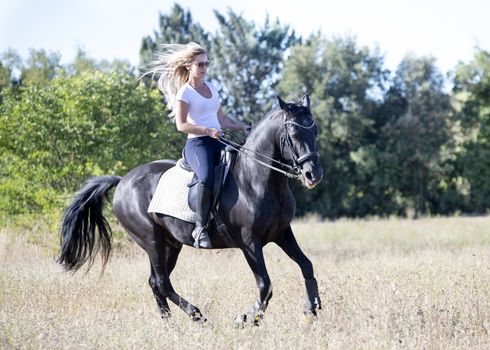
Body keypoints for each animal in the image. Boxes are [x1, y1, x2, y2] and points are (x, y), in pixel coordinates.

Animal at [58, 93, 322, 326]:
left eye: (315, 131)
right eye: (294, 133)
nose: (313, 174)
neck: (256, 179)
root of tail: (122, 181)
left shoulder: (282, 233)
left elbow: (307, 266)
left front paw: (311, 311)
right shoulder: (249, 242)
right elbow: (265, 286)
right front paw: (245, 319)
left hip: (170, 244)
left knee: (156, 282)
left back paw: (170, 326)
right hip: (151, 240)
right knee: (162, 282)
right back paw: (197, 316)